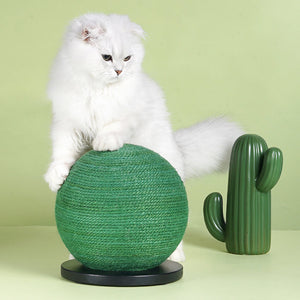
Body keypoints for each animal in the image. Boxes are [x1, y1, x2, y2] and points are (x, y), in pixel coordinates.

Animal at [45, 13, 244, 262]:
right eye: (107, 57)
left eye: (127, 58)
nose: (119, 71)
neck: (97, 89)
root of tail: (177, 148)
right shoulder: (68, 124)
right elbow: (62, 153)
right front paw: (56, 177)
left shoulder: (131, 114)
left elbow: (113, 127)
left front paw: (104, 143)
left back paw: (175, 257)